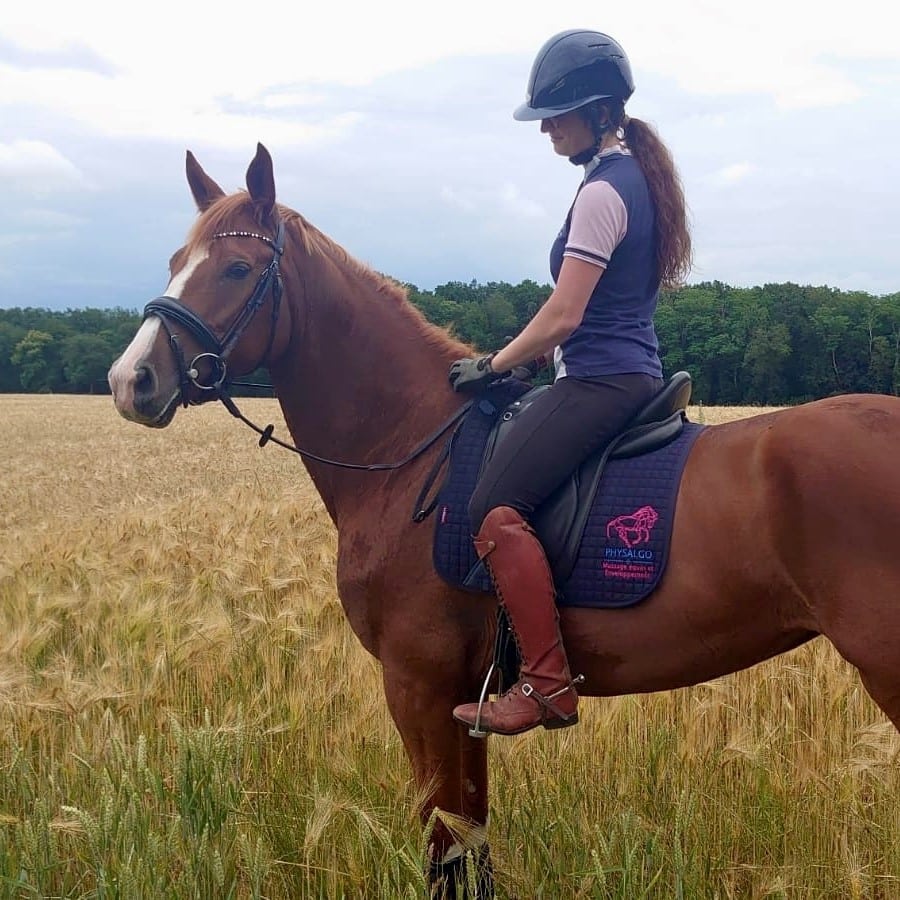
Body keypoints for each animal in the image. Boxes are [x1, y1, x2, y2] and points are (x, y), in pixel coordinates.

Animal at [110, 144, 900, 896]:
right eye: (176, 262)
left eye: (238, 269)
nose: (130, 381)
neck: (408, 449)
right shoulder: (467, 701)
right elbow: (473, 843)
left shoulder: (419, 686)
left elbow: (443, 847)